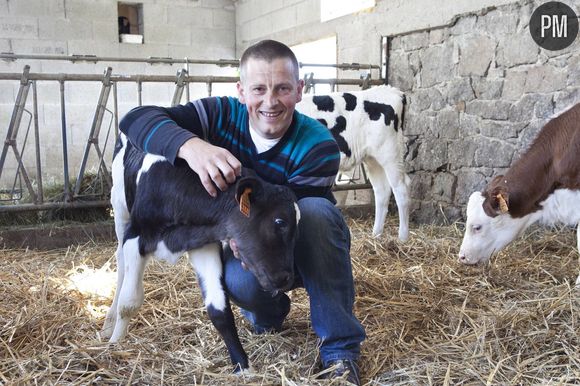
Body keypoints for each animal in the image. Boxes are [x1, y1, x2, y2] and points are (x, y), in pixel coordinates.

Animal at [101, 133, 300, 370]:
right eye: (280, 221)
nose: (286, 278)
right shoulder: (136, 236)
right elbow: (129, 302)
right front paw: (114, 347)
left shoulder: (203, 243)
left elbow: (219, 309)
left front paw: (243, 366)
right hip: (119, 206)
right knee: (121, 263)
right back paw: (108, 325)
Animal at [296, 86, 410, 240]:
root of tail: (393, 91)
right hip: (372, 158)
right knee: (382, 190)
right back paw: (375, 235)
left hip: (390, 154)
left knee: (401, 189)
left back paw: (402, 238)